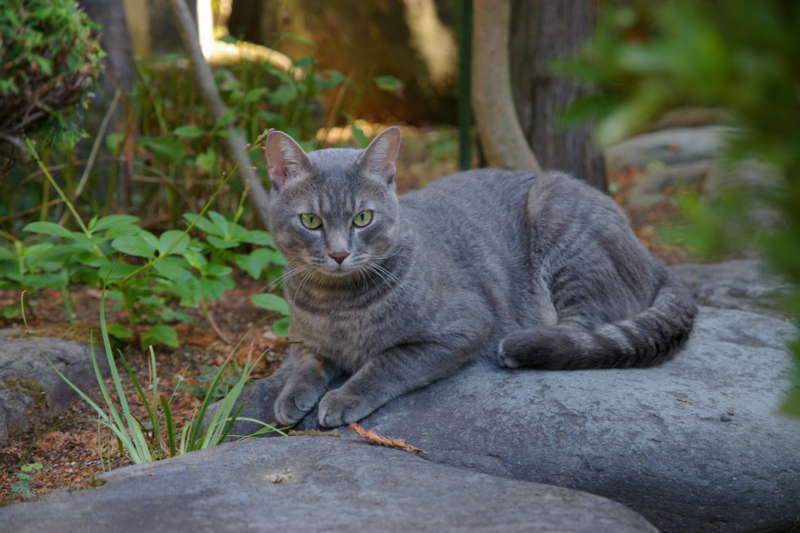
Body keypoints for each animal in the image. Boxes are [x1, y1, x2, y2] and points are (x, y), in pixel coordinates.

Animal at [266, 125, 696, 428]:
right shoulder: (303, 337)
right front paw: (291, 395)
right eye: (310, 220)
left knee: (584, 332)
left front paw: (344, 397)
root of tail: (651, 256)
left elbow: (388, 363)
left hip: (558, 217)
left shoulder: (462, 328)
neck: (337, 303)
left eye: (362, 218)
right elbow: (306, 362)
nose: (339, 253)